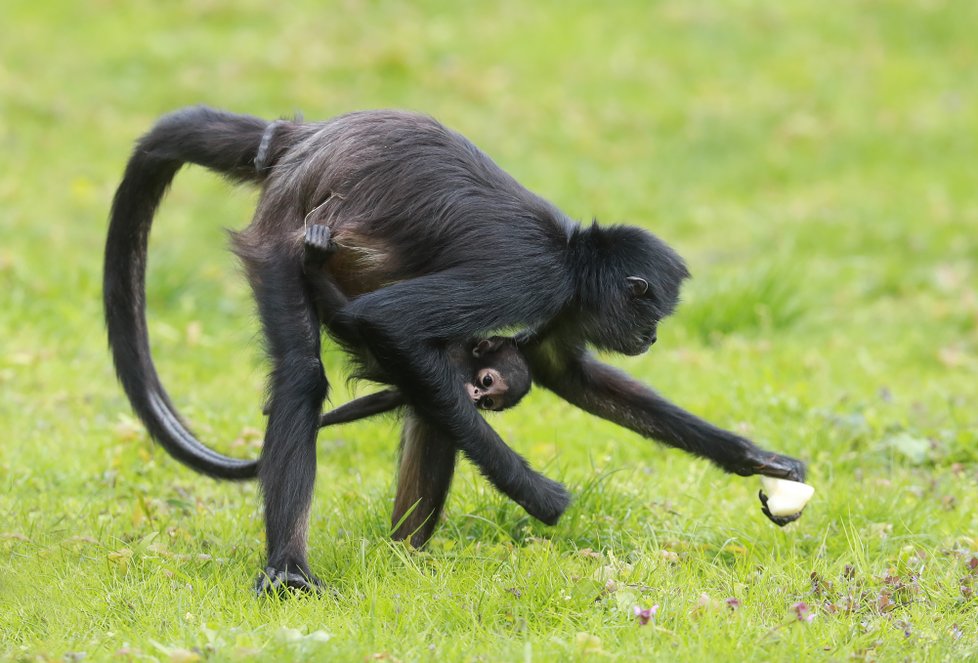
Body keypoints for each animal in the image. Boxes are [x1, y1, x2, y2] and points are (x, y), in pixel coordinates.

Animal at [103, 105, 804, 596]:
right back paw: (290, 572)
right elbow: (384, 322)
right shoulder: (528, 277)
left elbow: (567, 373)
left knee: (432, 409)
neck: (569, 253)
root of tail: (302, 141)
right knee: (305, 375)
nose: (652, 336)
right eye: (652, 310)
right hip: (279, 237)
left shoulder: (559, 301)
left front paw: (754, 458)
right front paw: (538, 495)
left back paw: (403, 558)